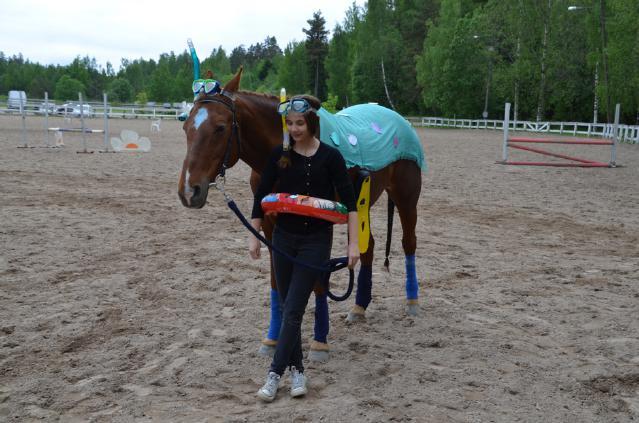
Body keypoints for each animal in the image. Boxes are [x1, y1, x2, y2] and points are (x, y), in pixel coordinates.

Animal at [178, 69, 424, 362]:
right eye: (186, 127)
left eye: (220, 128)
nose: (189, 191)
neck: (288, 154)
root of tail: (395, 117)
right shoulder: (271, 225)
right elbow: (276, 280)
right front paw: (273, 338)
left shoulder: (319, 224)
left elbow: (316, 281)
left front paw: (319, 342)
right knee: (369, 247)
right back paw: (359, 307)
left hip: (406, 198)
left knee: (409, 243)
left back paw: (412, 302)